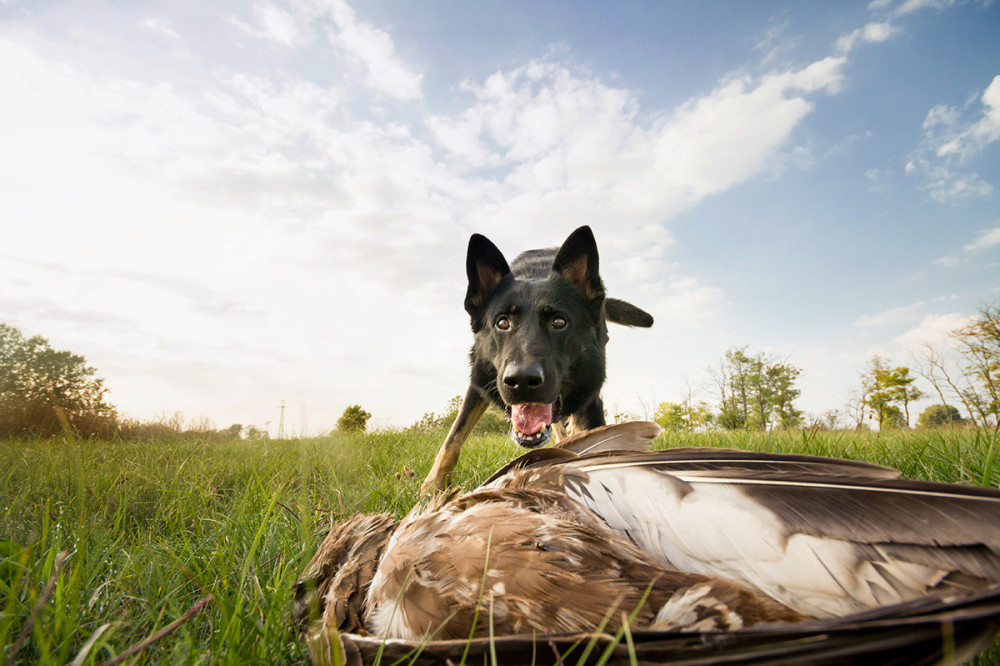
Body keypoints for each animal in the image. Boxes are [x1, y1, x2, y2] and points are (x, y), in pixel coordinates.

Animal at [422, 226, 656, 490]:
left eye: (559, 322)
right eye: (502, 322)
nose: (521, 381)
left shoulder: (591, 396)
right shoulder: (480, 382)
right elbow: (454, 435)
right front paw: (433, 486)